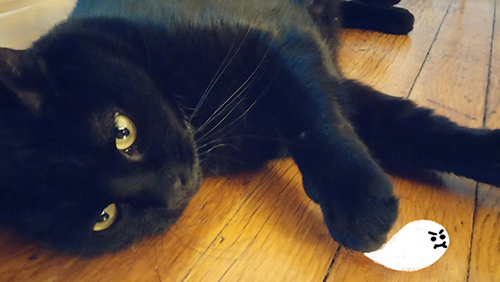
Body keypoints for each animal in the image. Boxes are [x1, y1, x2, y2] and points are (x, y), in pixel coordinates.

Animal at [0, 0, 488, 256]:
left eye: (123, 132)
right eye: (104, 217)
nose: (173, 187)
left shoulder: (281, 44)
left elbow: (312, 123)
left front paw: (358, 202)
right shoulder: (339, 89)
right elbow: (418, 132)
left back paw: (399, 16)